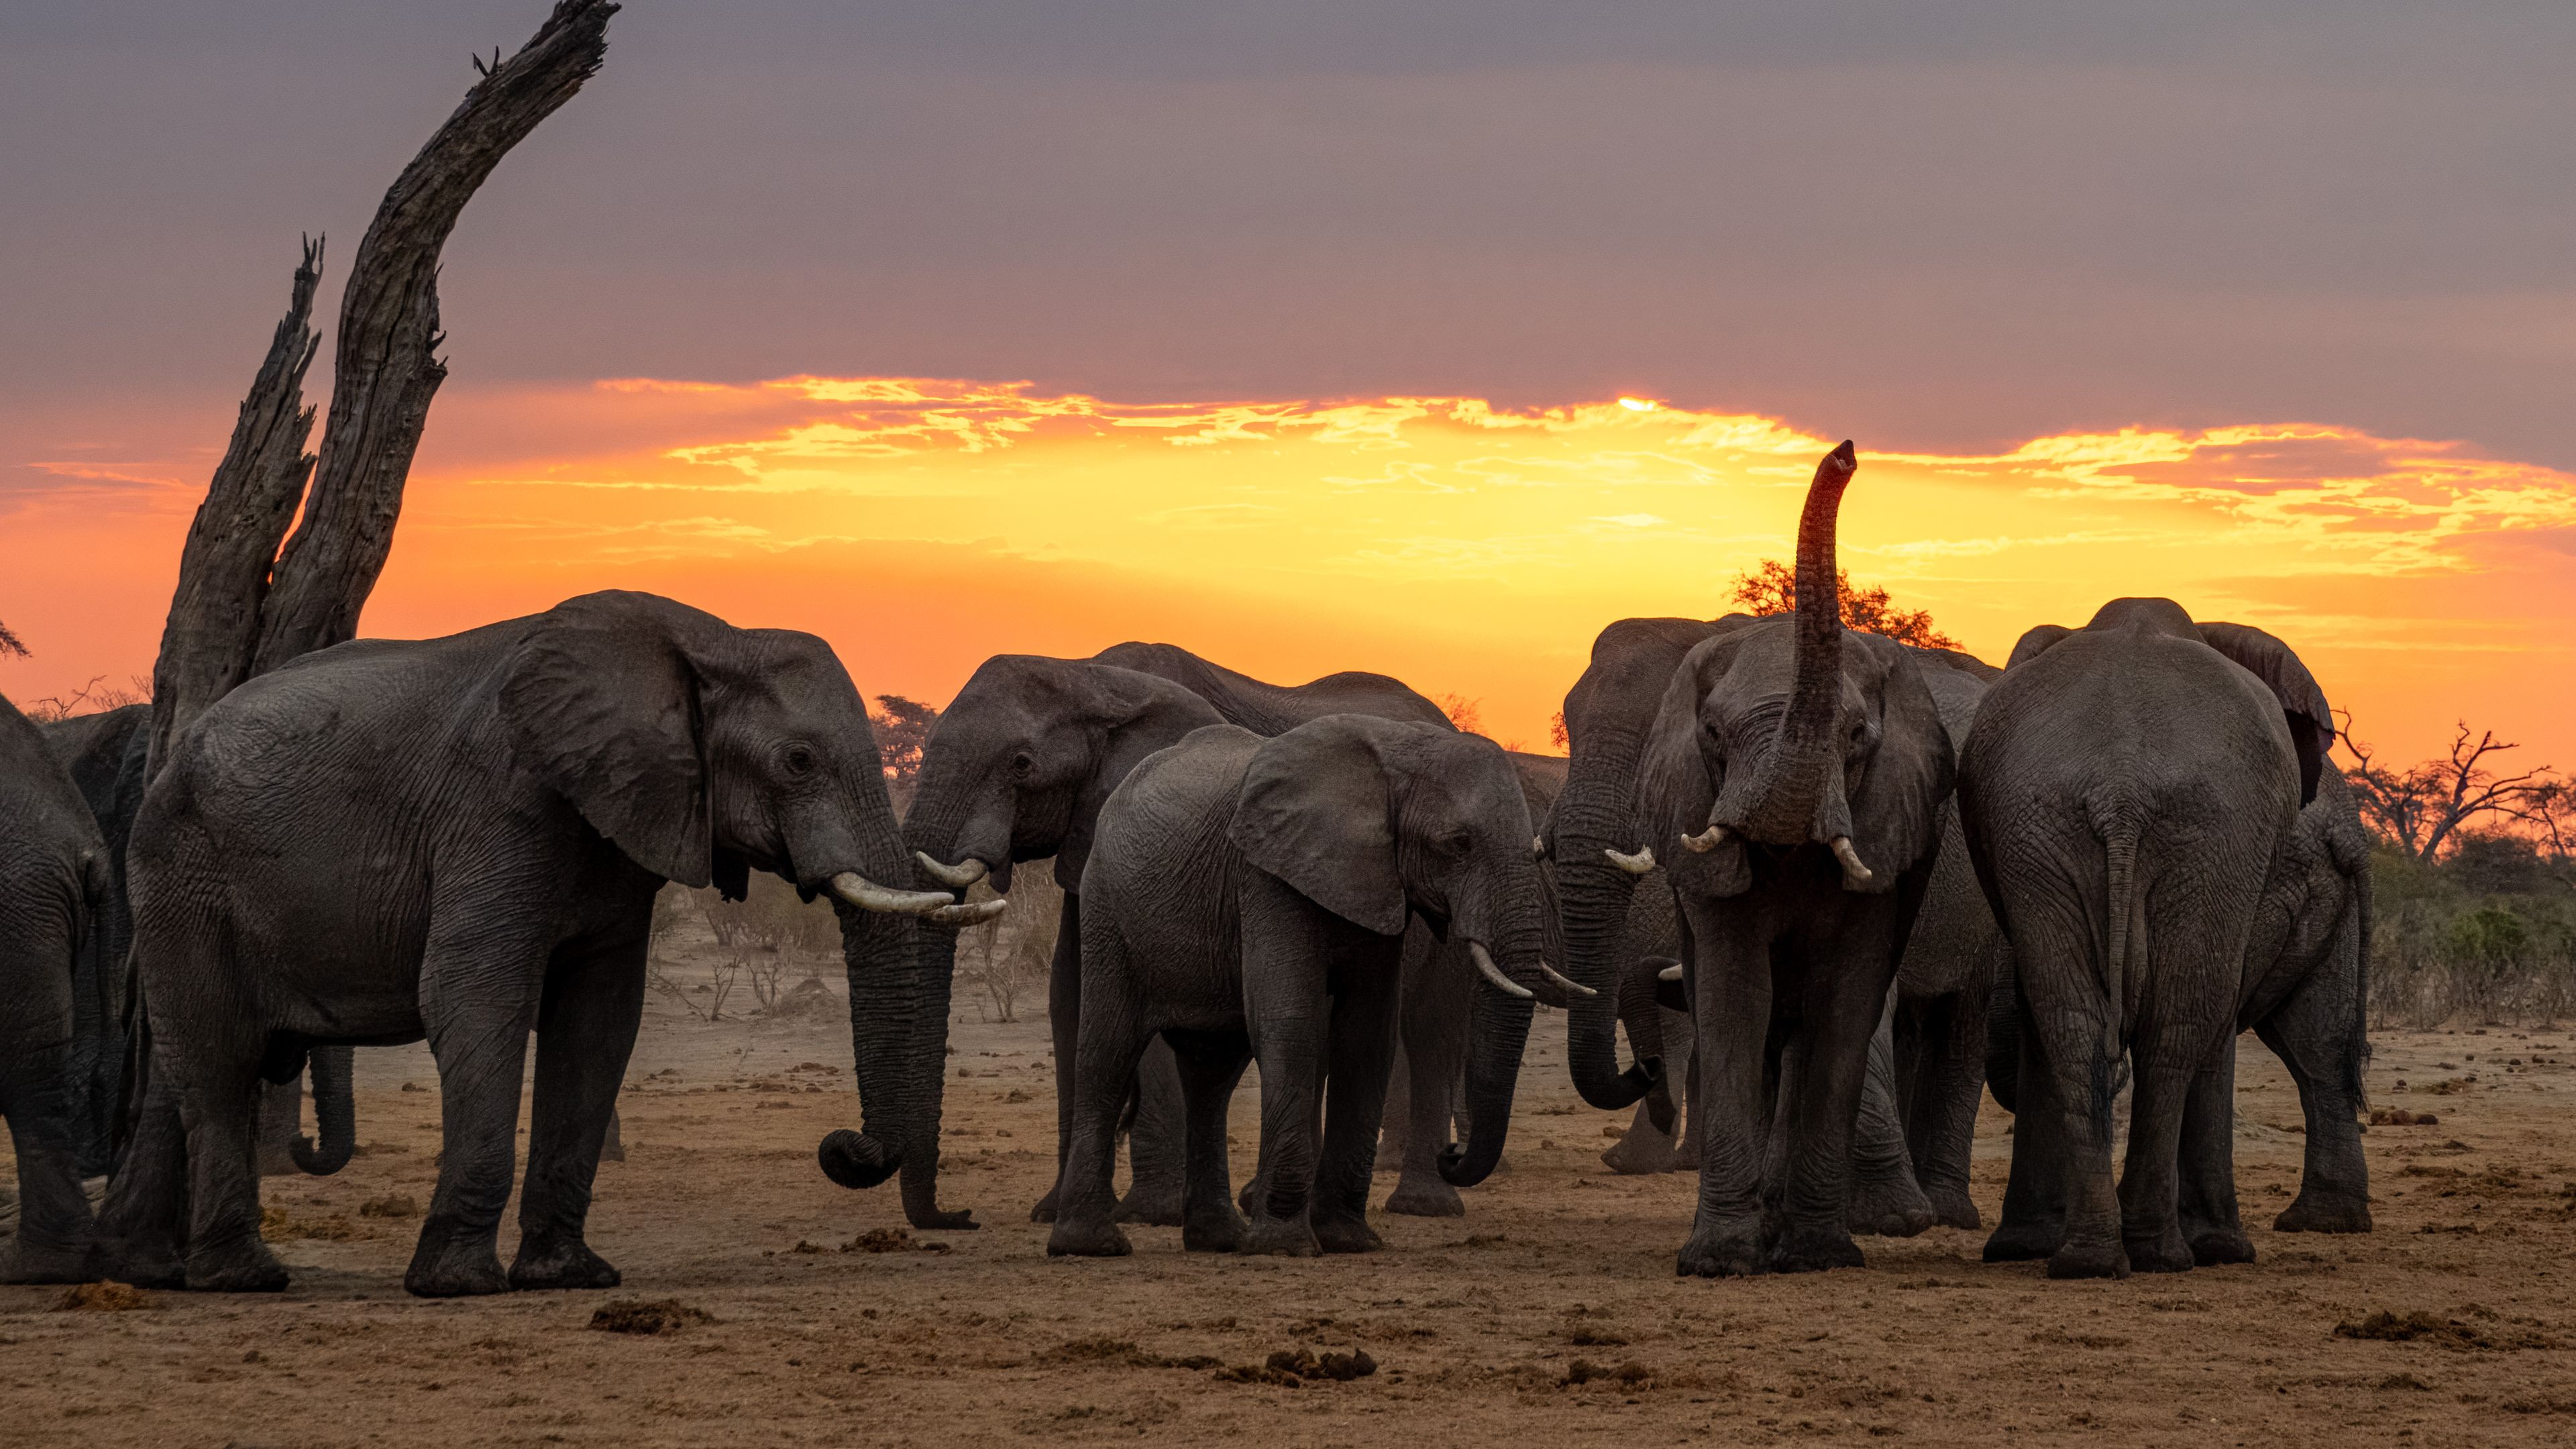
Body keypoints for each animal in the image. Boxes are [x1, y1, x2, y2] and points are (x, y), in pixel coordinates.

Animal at [92, 590, 992, 1295]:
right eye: (799, 761)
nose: (845, 1147)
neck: (707, 638)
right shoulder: (497, 807)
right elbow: (476, 999)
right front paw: (458, 1287)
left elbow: (599, 1022)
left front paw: (571, 1277)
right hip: (179, 873)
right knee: (217, 1062)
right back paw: (243, 1278)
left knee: (184, 1072)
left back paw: (153, 1272)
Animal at [1047, 715, 1568, 1258]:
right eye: (1459, 843)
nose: (1452, 1152)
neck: (1397, 753)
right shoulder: (1267, 878)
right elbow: (1292, 1022)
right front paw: (1284, 1246)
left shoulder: (1377, 885)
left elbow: (1367, 1035)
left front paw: (1349, 1241)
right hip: (1107, 908)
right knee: (1108, 1052)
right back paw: (1093, 1245)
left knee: (1212, 1073)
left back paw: (1219, 1240)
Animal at [1639, 443, 1960, 1276]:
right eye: (1713, 735)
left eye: (1856, 737)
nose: (1846, 453)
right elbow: (1735, 997)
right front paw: (1718, 1261)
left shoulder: (1888, 832)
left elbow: (1845, 1001)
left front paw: (1820, 1255)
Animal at [1960, 597, 2342, 1278]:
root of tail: (2121, 790)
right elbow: (2218, 1018)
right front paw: (2222, 1251)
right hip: (2210, 839)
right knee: (2181, 1026)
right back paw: (2162, 1254)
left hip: (2052, 830)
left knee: (2074, 1025)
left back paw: (2084, 1259)